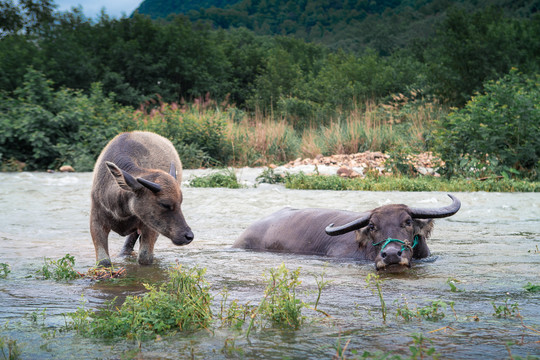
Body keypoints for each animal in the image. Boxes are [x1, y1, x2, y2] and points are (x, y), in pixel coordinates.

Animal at [90, 131, 194, 266]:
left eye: (180, 203)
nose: (189, 236)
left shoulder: (149, 227)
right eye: (164, 204)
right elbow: (104, 262)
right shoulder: (96, 222)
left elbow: (145, 258)